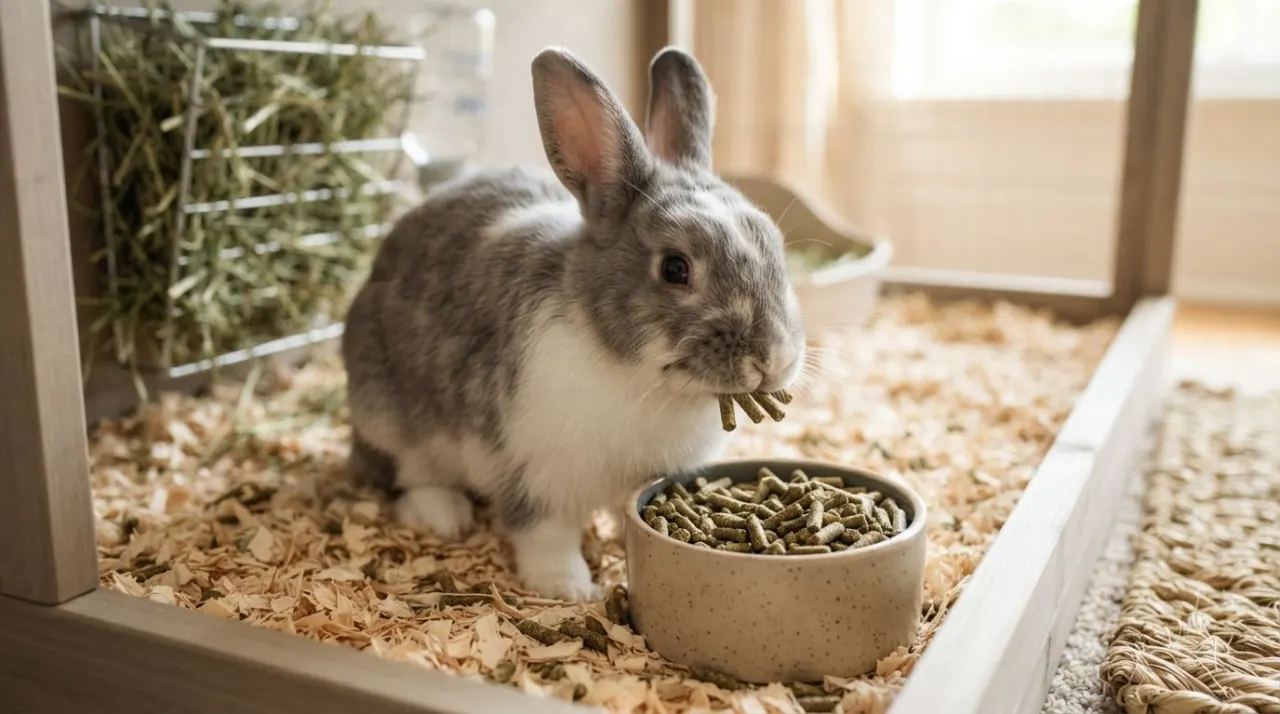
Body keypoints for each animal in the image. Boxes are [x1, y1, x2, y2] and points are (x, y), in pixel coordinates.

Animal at [340, 45, 806, 601]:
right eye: (675, 268)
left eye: (775, 245)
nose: (776, 358)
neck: (638, 380)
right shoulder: (537, 476)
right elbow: (545, 536)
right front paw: (571, 590)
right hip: (388, 415)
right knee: (410, 475)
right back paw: (444, 515)